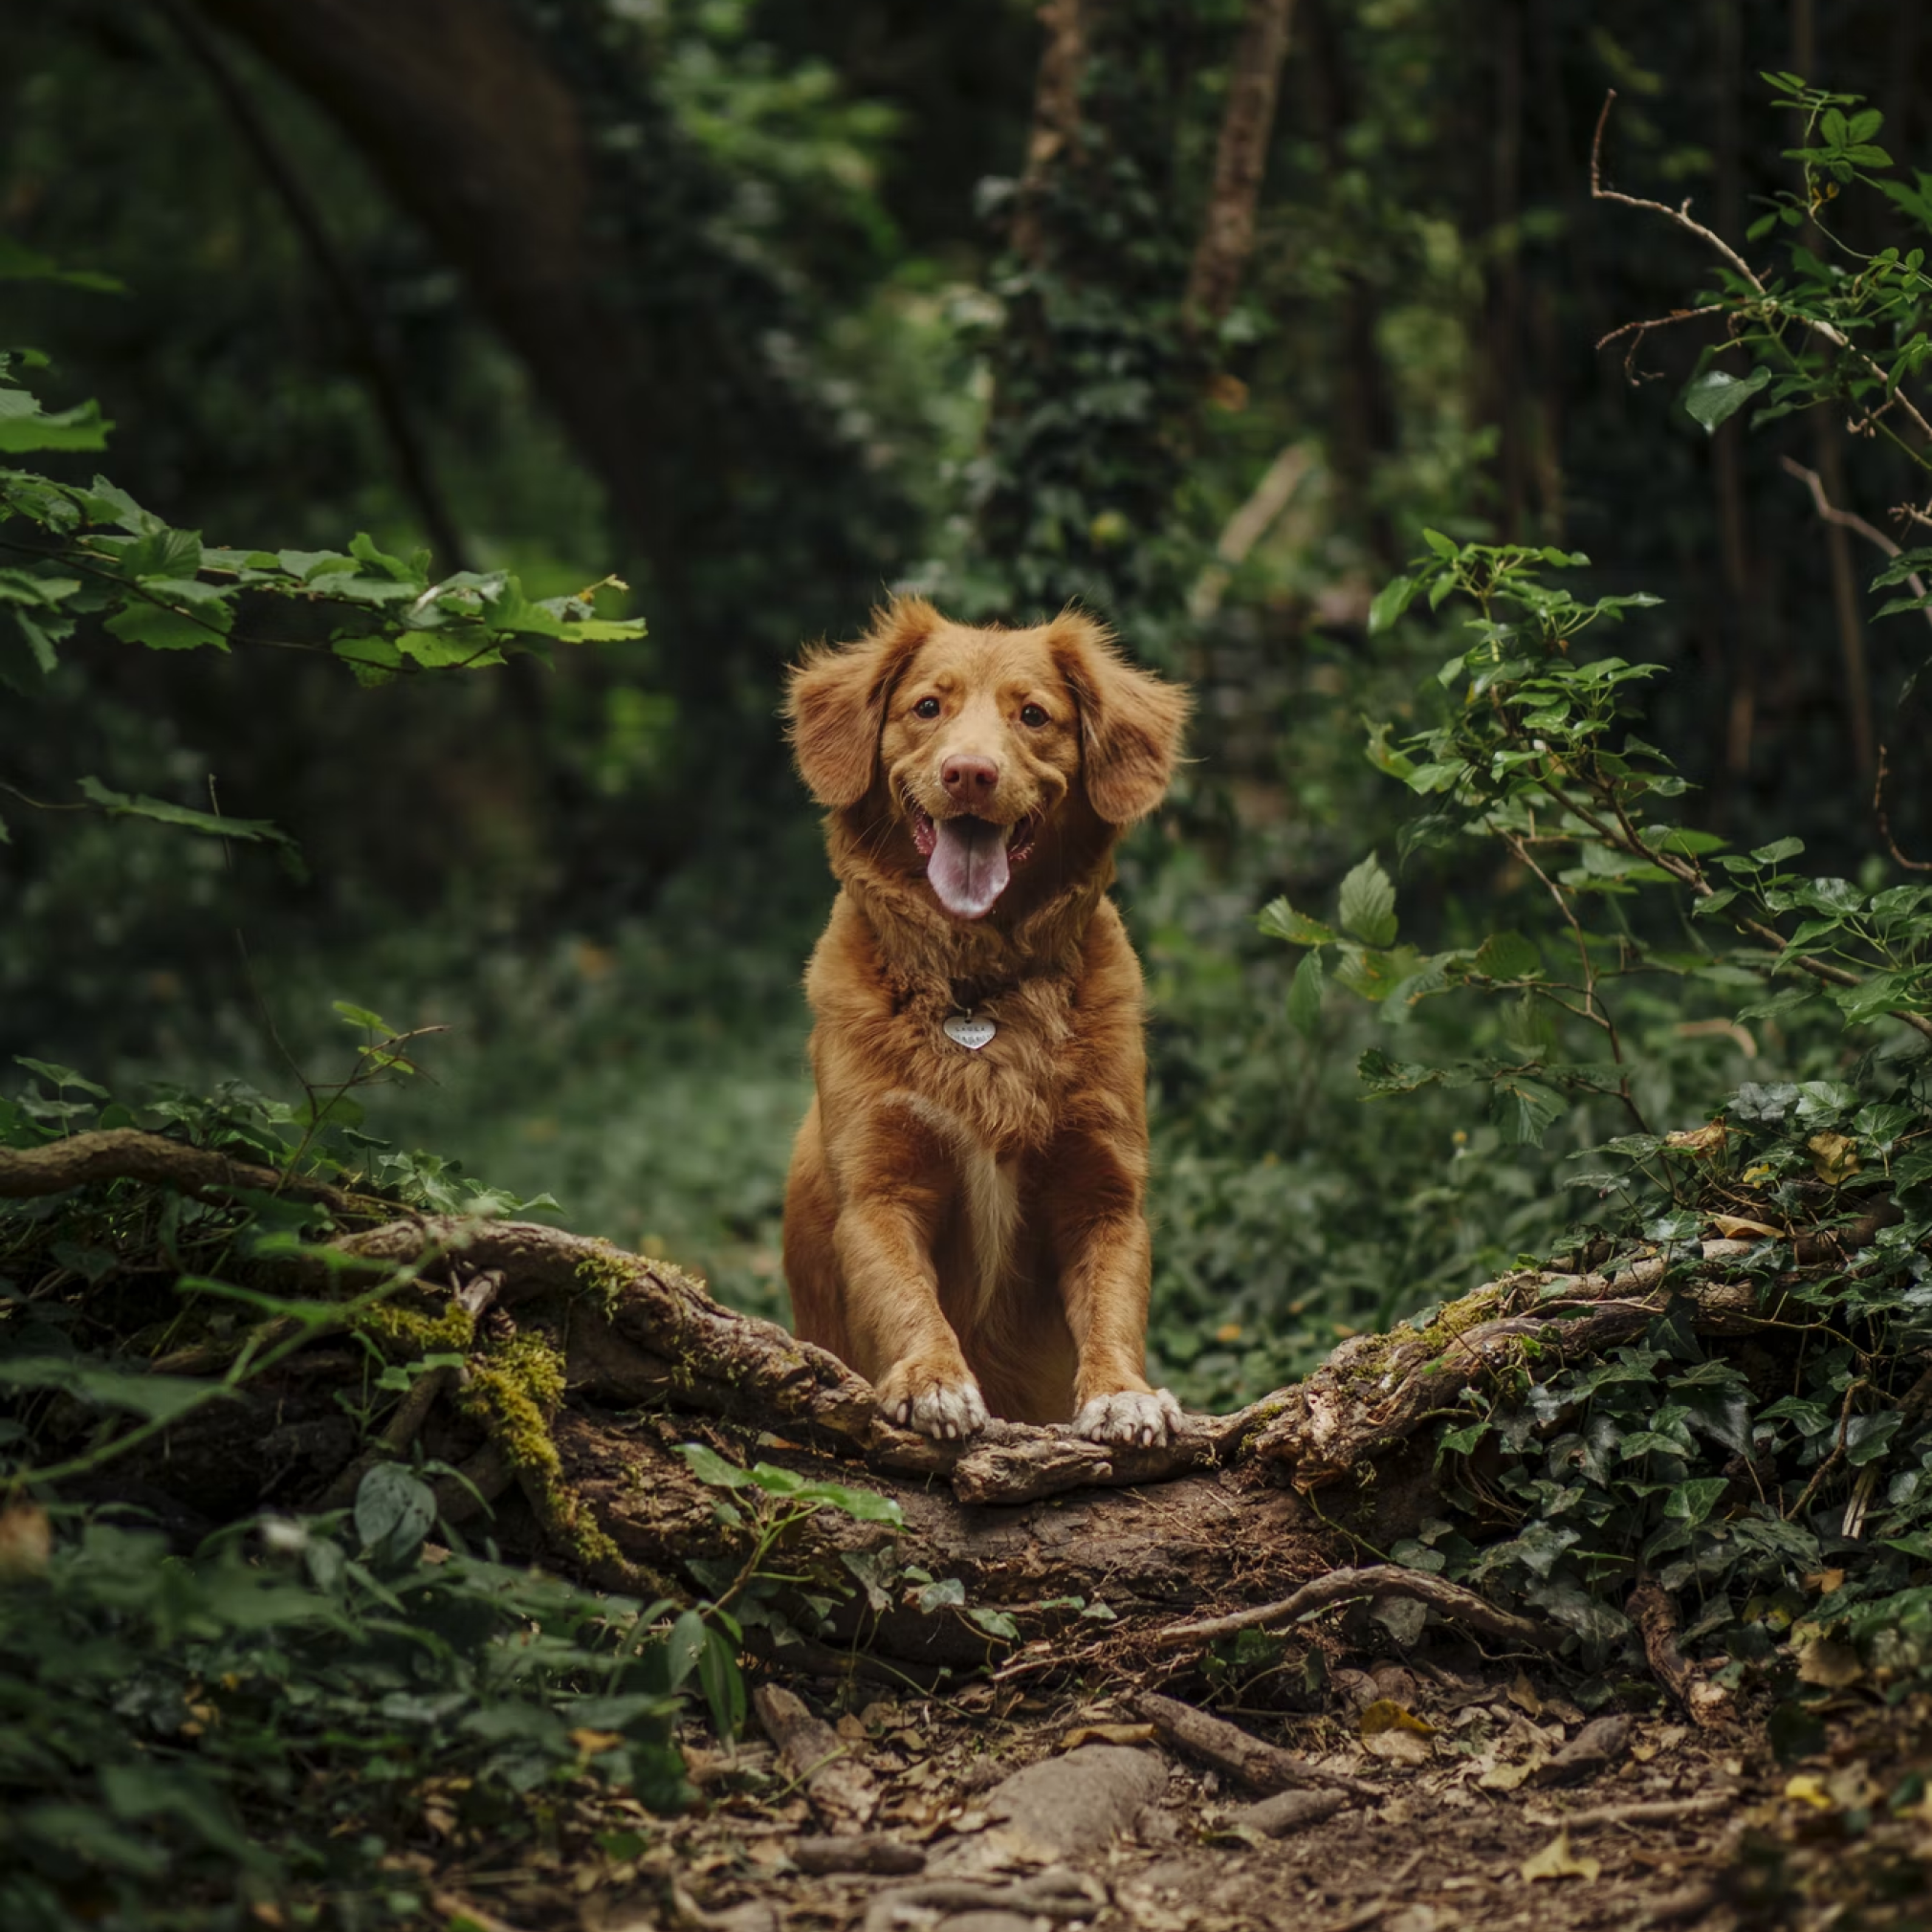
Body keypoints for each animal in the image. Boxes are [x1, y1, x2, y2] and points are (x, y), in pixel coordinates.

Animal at [777, 595, 1182, 1444]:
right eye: (928, 707)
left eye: (1033, 716)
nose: (969, 773)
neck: (979, 990)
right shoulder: (879, 1189)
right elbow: (906, 1296)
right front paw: (933, 1379)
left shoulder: (1103, 1190)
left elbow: (1113, 1307)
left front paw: (1121, 1392)